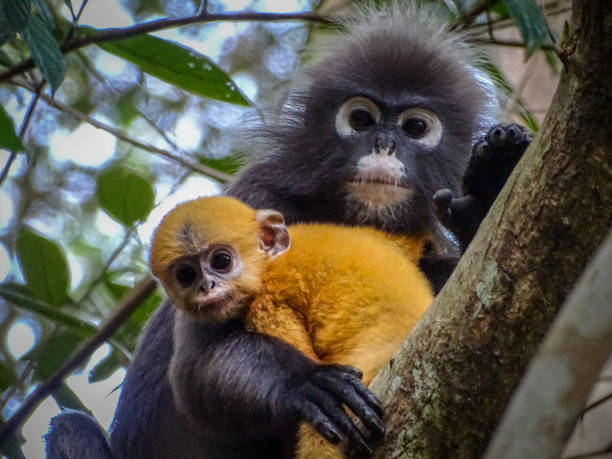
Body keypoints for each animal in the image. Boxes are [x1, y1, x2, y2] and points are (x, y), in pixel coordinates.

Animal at [150, 196, 432, 458]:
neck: (268, 263)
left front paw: (304, 381)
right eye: (186, 275)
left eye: (222, 260)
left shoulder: (269, 294)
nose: (206, 286)